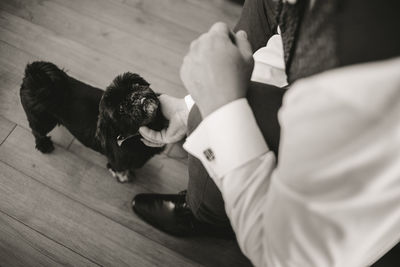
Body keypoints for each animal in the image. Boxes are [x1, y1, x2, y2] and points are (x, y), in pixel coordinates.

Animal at [21, 61, 165, 183]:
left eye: (135, 84)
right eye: (121, 109)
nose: (132, 97)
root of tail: (34, 78)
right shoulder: (118, 162)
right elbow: (118, 169)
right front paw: (123, 177)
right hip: (42, 120)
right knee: (37, 131)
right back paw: (44, 145)